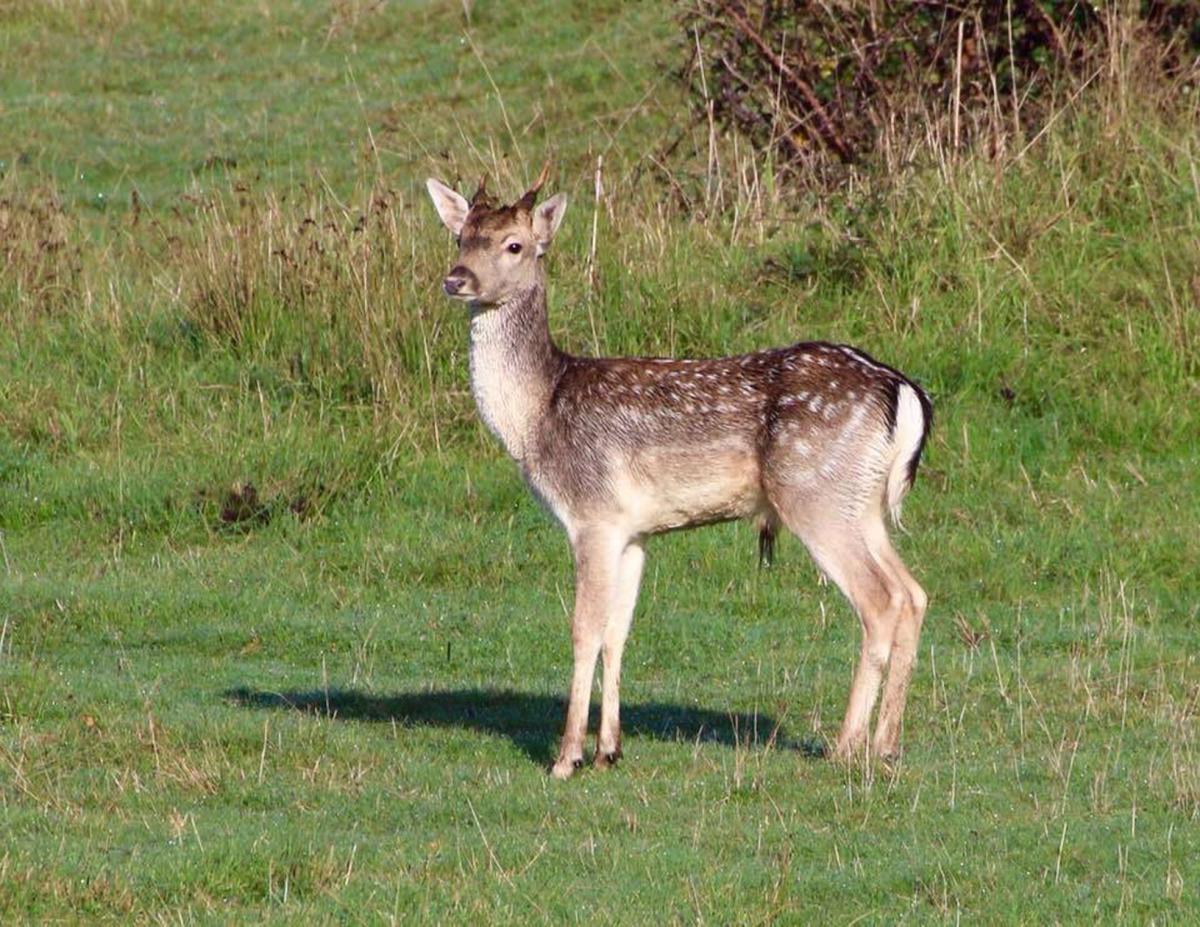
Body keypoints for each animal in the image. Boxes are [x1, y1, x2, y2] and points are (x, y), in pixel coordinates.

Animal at [427, 164, 931, 773]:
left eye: (514, 244)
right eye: (460, 236)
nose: (456, 279)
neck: (538, 414)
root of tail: (902, 392)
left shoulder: (592, 515)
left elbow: (583, 630)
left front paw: (567, 756)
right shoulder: (633, 530)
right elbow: (617, 633)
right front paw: (609, 750)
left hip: (815, 494)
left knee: (880, 601)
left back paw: (846, 747)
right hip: (863, 503)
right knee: (914, 593)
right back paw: (887, 744)